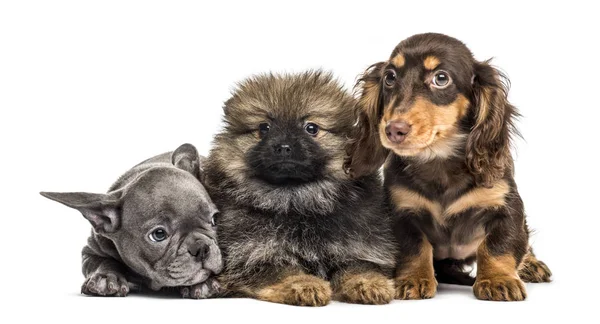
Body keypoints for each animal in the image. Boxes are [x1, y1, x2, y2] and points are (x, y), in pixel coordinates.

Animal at [40, 144, 223, 298]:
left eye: (214, 219)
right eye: (159, 234)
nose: (201, 248)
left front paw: (205, 283)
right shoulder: (90, 251)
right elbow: (101, 261)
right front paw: (105, 277)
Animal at [206, 71, 398, 306]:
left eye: (311, 128)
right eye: (264, 128)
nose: (283, 147)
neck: (296, 200)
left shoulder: (360, 245)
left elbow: (358, 266)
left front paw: (369, 283)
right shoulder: (251, 254)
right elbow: (283, 270)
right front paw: (304, 284)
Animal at [344, 33, 552, 302]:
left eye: (441, 78)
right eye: (390, 77)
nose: (393, 130)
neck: (439, 160)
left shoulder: (506, 206)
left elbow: (497, 245)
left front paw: (498, 279)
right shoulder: (401, 210)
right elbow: (414, 247)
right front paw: (413, 278)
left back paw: (531, 264)